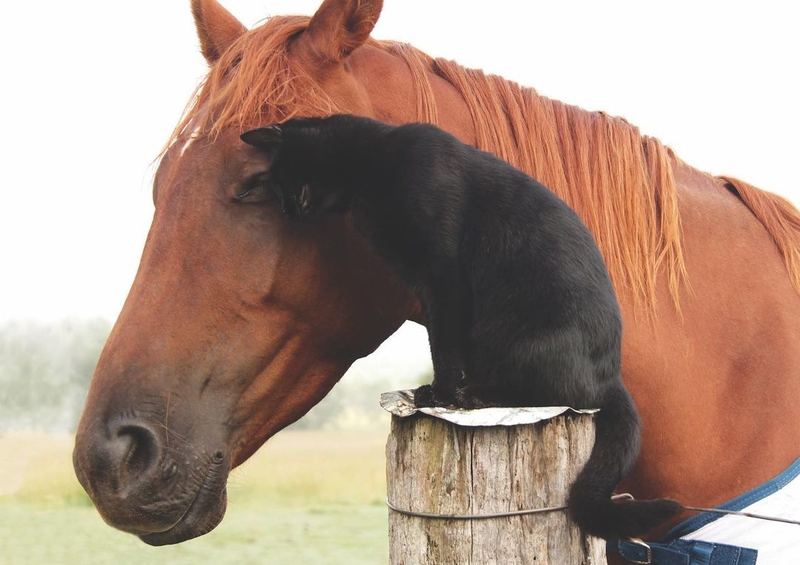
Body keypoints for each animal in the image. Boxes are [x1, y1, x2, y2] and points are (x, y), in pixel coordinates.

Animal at [241, 113, 680, 536]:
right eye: (280, 197)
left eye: (289, 189)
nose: (290, 212)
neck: (372, 165)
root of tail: (612, 376)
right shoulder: (423, 282)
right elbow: (442, 340)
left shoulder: (442, 274)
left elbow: (443, 343)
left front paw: (439, 395)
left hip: (521, 340)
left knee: (555, 395)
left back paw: (476, 397)